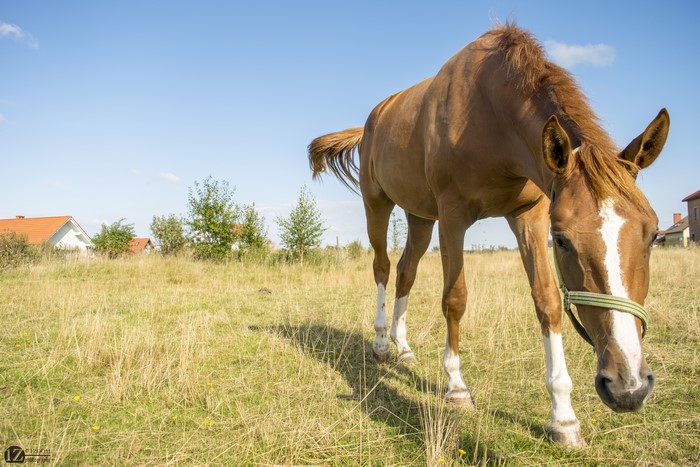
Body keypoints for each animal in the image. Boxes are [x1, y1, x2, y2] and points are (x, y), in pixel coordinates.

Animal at [307, 23, 669, 447]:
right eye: (563, 240)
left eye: (653, 233)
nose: (628, 386)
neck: (490, 117)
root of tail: (373, 121)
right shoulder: (453, 217)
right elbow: (455, 299)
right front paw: (457, 387)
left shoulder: (529, 216)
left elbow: (547, 301)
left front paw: (563, 417)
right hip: (377, 204)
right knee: (382, 267)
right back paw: (381, 343)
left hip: (420, 218)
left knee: (405, 272)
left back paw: (404, 348)